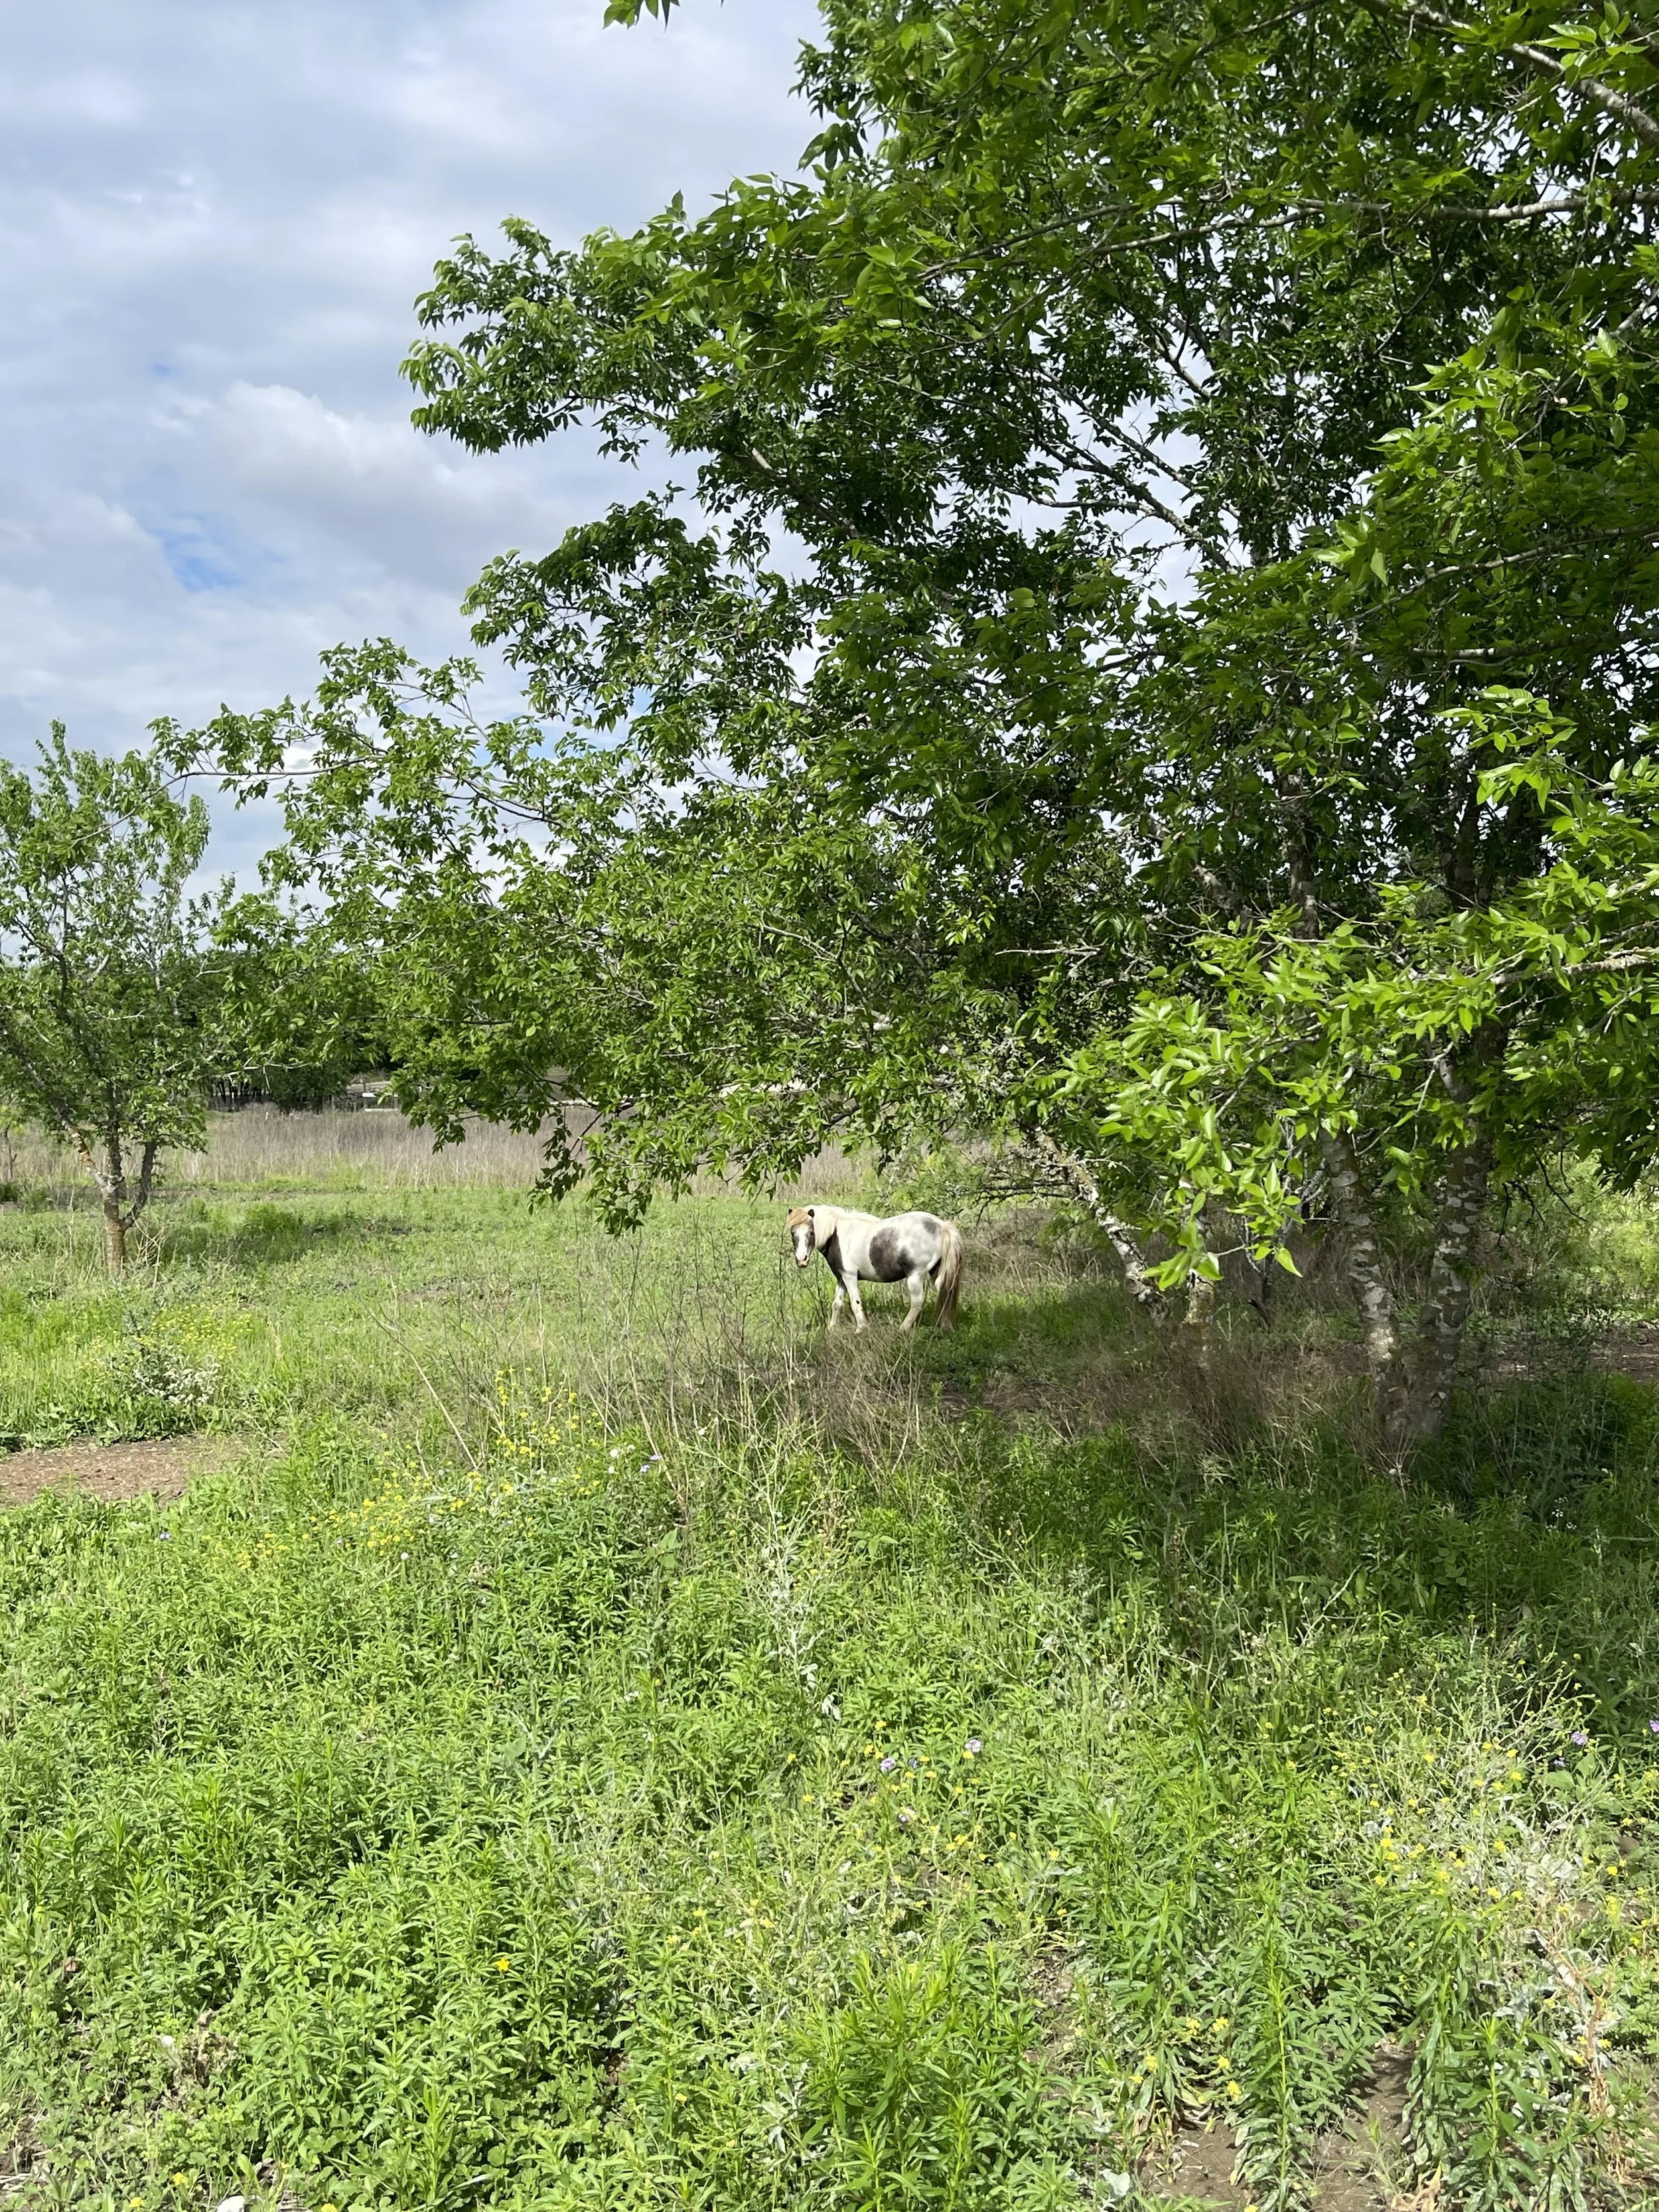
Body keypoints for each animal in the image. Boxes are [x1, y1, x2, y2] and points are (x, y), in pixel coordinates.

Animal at [787, 1203, 965, 1332]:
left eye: (811, 1232)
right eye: (793, 1233)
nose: (801, 1260)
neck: (836, 1235)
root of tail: (941, 1226)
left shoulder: (850, 1276)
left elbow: (855, 1303)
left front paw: (861, 1329)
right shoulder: (841, 1278)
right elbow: (837, 1304)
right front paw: (831, 1329)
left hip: (915, 1275)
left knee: (917, 1302)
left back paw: (903, 1328)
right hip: (937, 1272)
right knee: (945, 1293)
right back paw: (945, 1326)